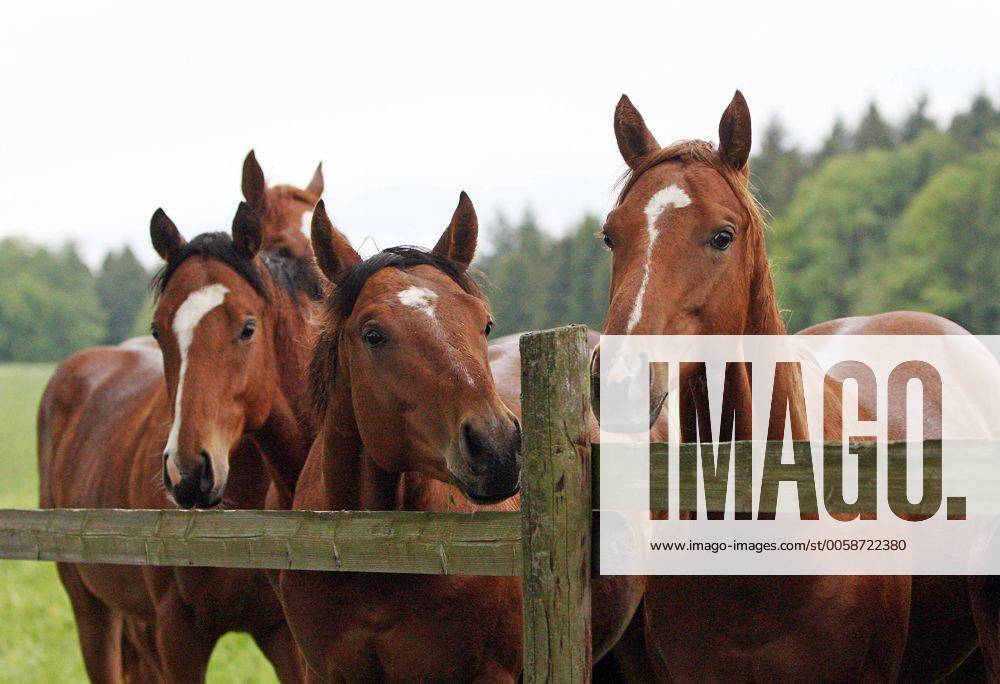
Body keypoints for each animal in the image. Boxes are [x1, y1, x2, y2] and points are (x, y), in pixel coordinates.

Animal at [38, 201, 323, 682]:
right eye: (158, 330)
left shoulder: (287, 639)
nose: (189, 472)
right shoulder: (177, 634)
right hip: (92, 610)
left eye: (248, 327)